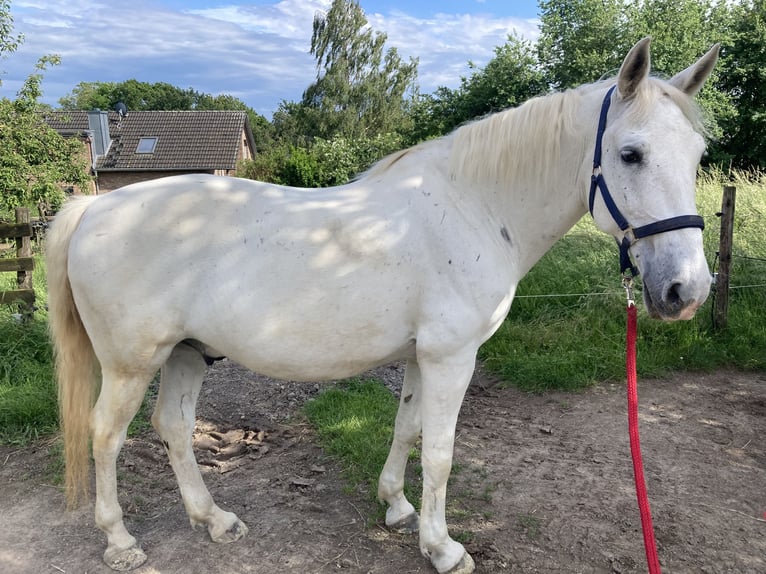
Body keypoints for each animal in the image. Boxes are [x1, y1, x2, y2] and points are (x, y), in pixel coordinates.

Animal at [48, 38, 720, 572]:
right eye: (630, 153)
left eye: (697, 156)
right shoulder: (452, 358)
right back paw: (121, 542)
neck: (477, 207)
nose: (686, 291)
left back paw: (214, 519)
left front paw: (397, 507)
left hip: (187, 353)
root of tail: (93, 208)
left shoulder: (422, 357)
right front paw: (444, 548)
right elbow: (442, 453)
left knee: (174, 429)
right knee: (106, 435)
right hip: (132, 365)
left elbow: (407, 428)